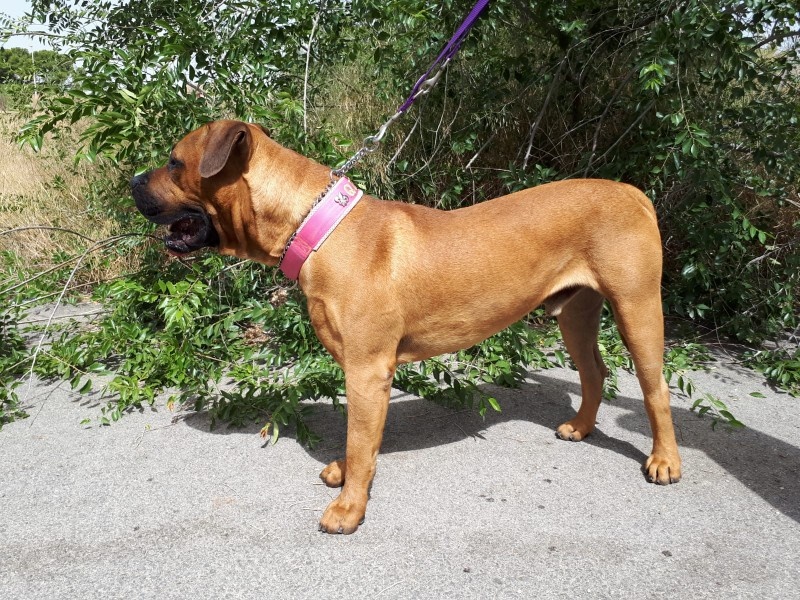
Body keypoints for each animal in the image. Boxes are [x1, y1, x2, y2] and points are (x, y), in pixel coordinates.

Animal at [131, 119, 682, 534]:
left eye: (175, 162)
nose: (133, 179)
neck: (314, 228)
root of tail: (633, 192)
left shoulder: (367, 370)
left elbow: (360, 442)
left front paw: (349, 509)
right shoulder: (361, 372)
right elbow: (360, 442)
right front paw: (345, 477)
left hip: (637, 307)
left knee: (654, 388)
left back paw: (665, 461)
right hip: (576, 313)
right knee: (594, 372)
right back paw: (582, 427)